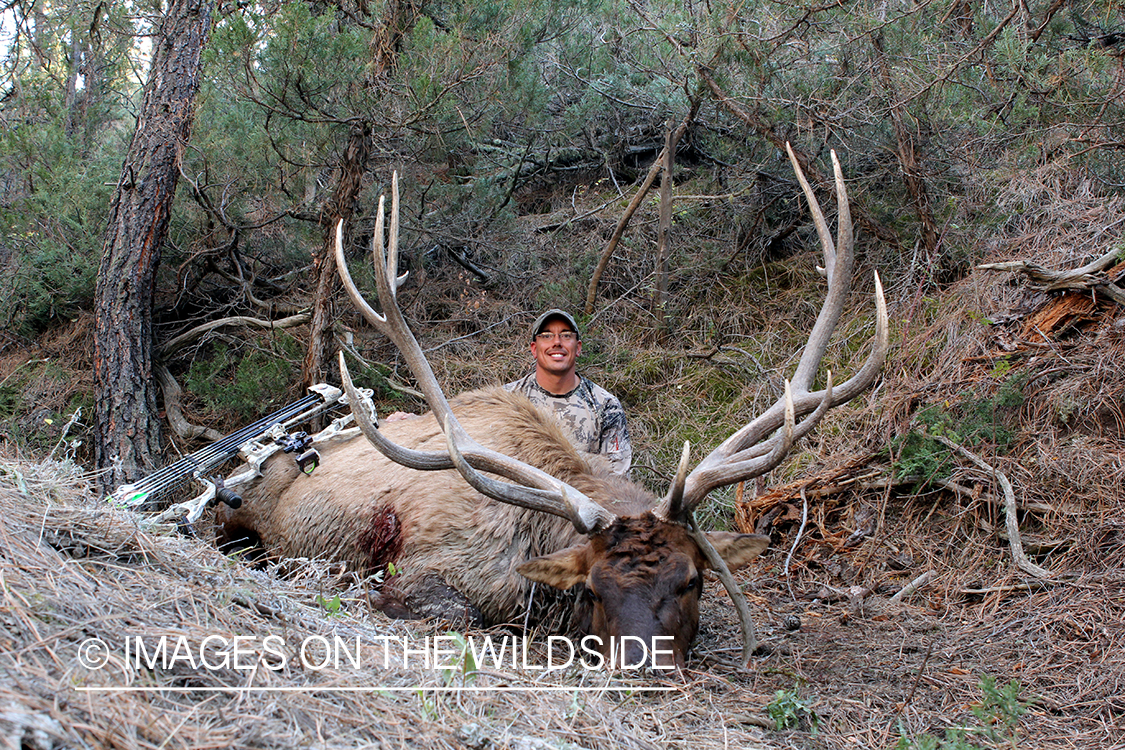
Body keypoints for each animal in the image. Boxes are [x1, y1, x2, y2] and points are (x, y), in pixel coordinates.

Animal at [214, 144, 888, 670]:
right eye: (592, 587)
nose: (644, 664)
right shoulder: (429, 564)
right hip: (238, 509)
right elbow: (448, 608)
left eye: (692, 580)